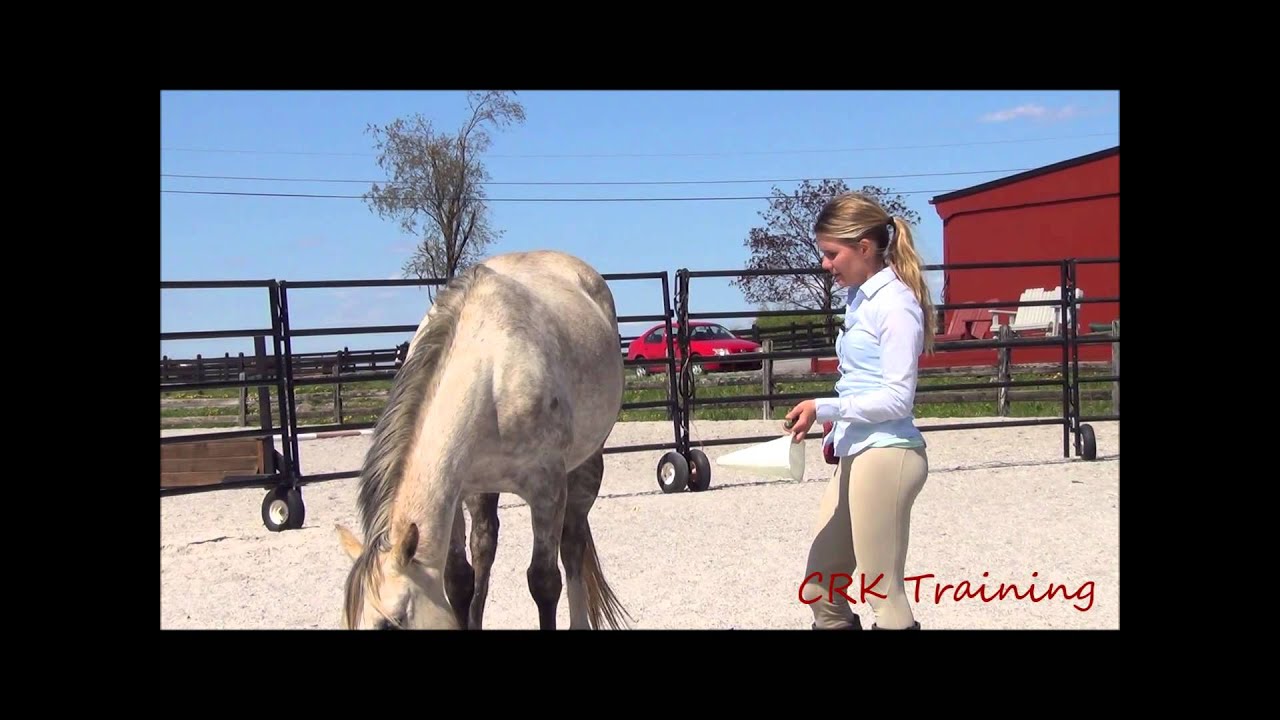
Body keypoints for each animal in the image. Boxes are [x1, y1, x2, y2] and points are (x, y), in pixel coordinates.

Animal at [335, 249, 631, 630]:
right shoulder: (458, 489)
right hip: (482, 491)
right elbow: (459, 579)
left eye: (389, 622)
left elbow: (544, 581)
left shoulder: (547, 488)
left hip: (586, 466)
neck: (490, 368)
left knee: (572, 546)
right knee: (485, 547)